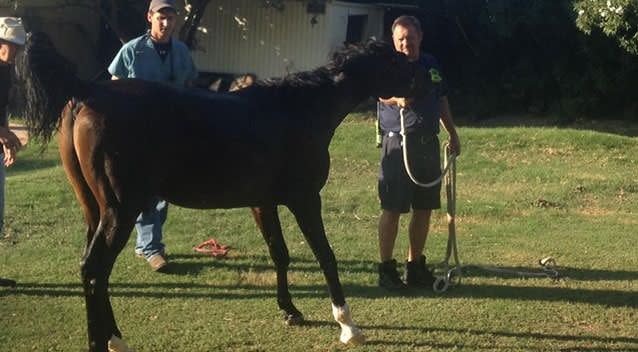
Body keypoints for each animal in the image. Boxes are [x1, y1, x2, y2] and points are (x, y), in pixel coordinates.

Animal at [20, 33, 430, 352]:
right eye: (398, 59)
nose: (427, 80)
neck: (298, 111)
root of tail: (88, 92)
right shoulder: (304, 200)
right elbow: (325, 257)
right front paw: (349, 326)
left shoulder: (263, 203)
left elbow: (280, 253)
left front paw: (290, 311)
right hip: (121, 211)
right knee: (94, 269)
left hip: (95, 210)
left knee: (93, 271)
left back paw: (115, 339)